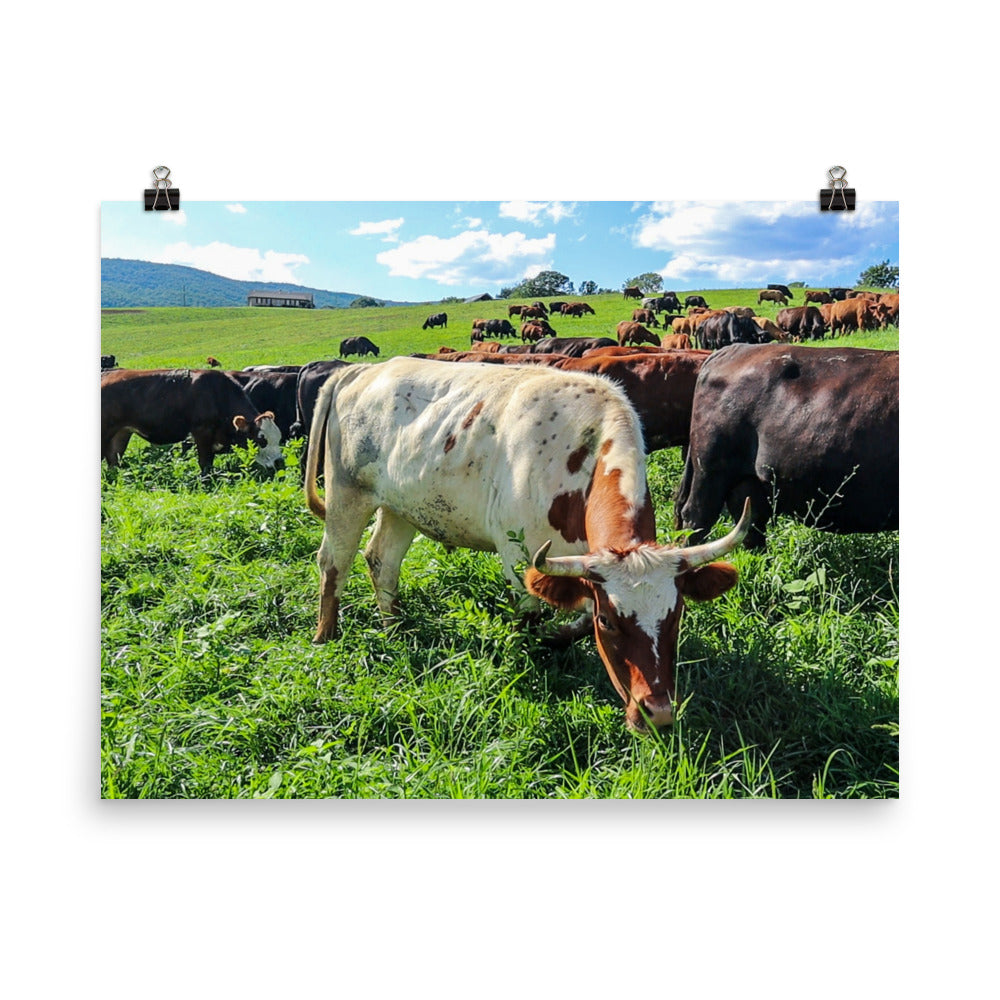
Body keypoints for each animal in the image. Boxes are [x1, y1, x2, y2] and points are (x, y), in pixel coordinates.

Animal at [101, 368, 284, 477]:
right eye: (262, 439)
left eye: (279, 438)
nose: (280, 462)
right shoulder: (202, 433)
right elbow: (205, 463)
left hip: (121, 432)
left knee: (113, 460)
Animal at [304, 356, 750, 731]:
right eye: (610, 622)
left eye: (676, 615)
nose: (657, 714)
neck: (581, 454)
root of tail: (362, 370)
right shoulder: (519, 557)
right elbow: (531, 619)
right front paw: (532, 657)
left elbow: (575, 619)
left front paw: (558, 637)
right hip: (347, 495)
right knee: (333, 563)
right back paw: (326, 637)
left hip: (400, 507)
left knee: (382, 561)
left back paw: (395, 627)